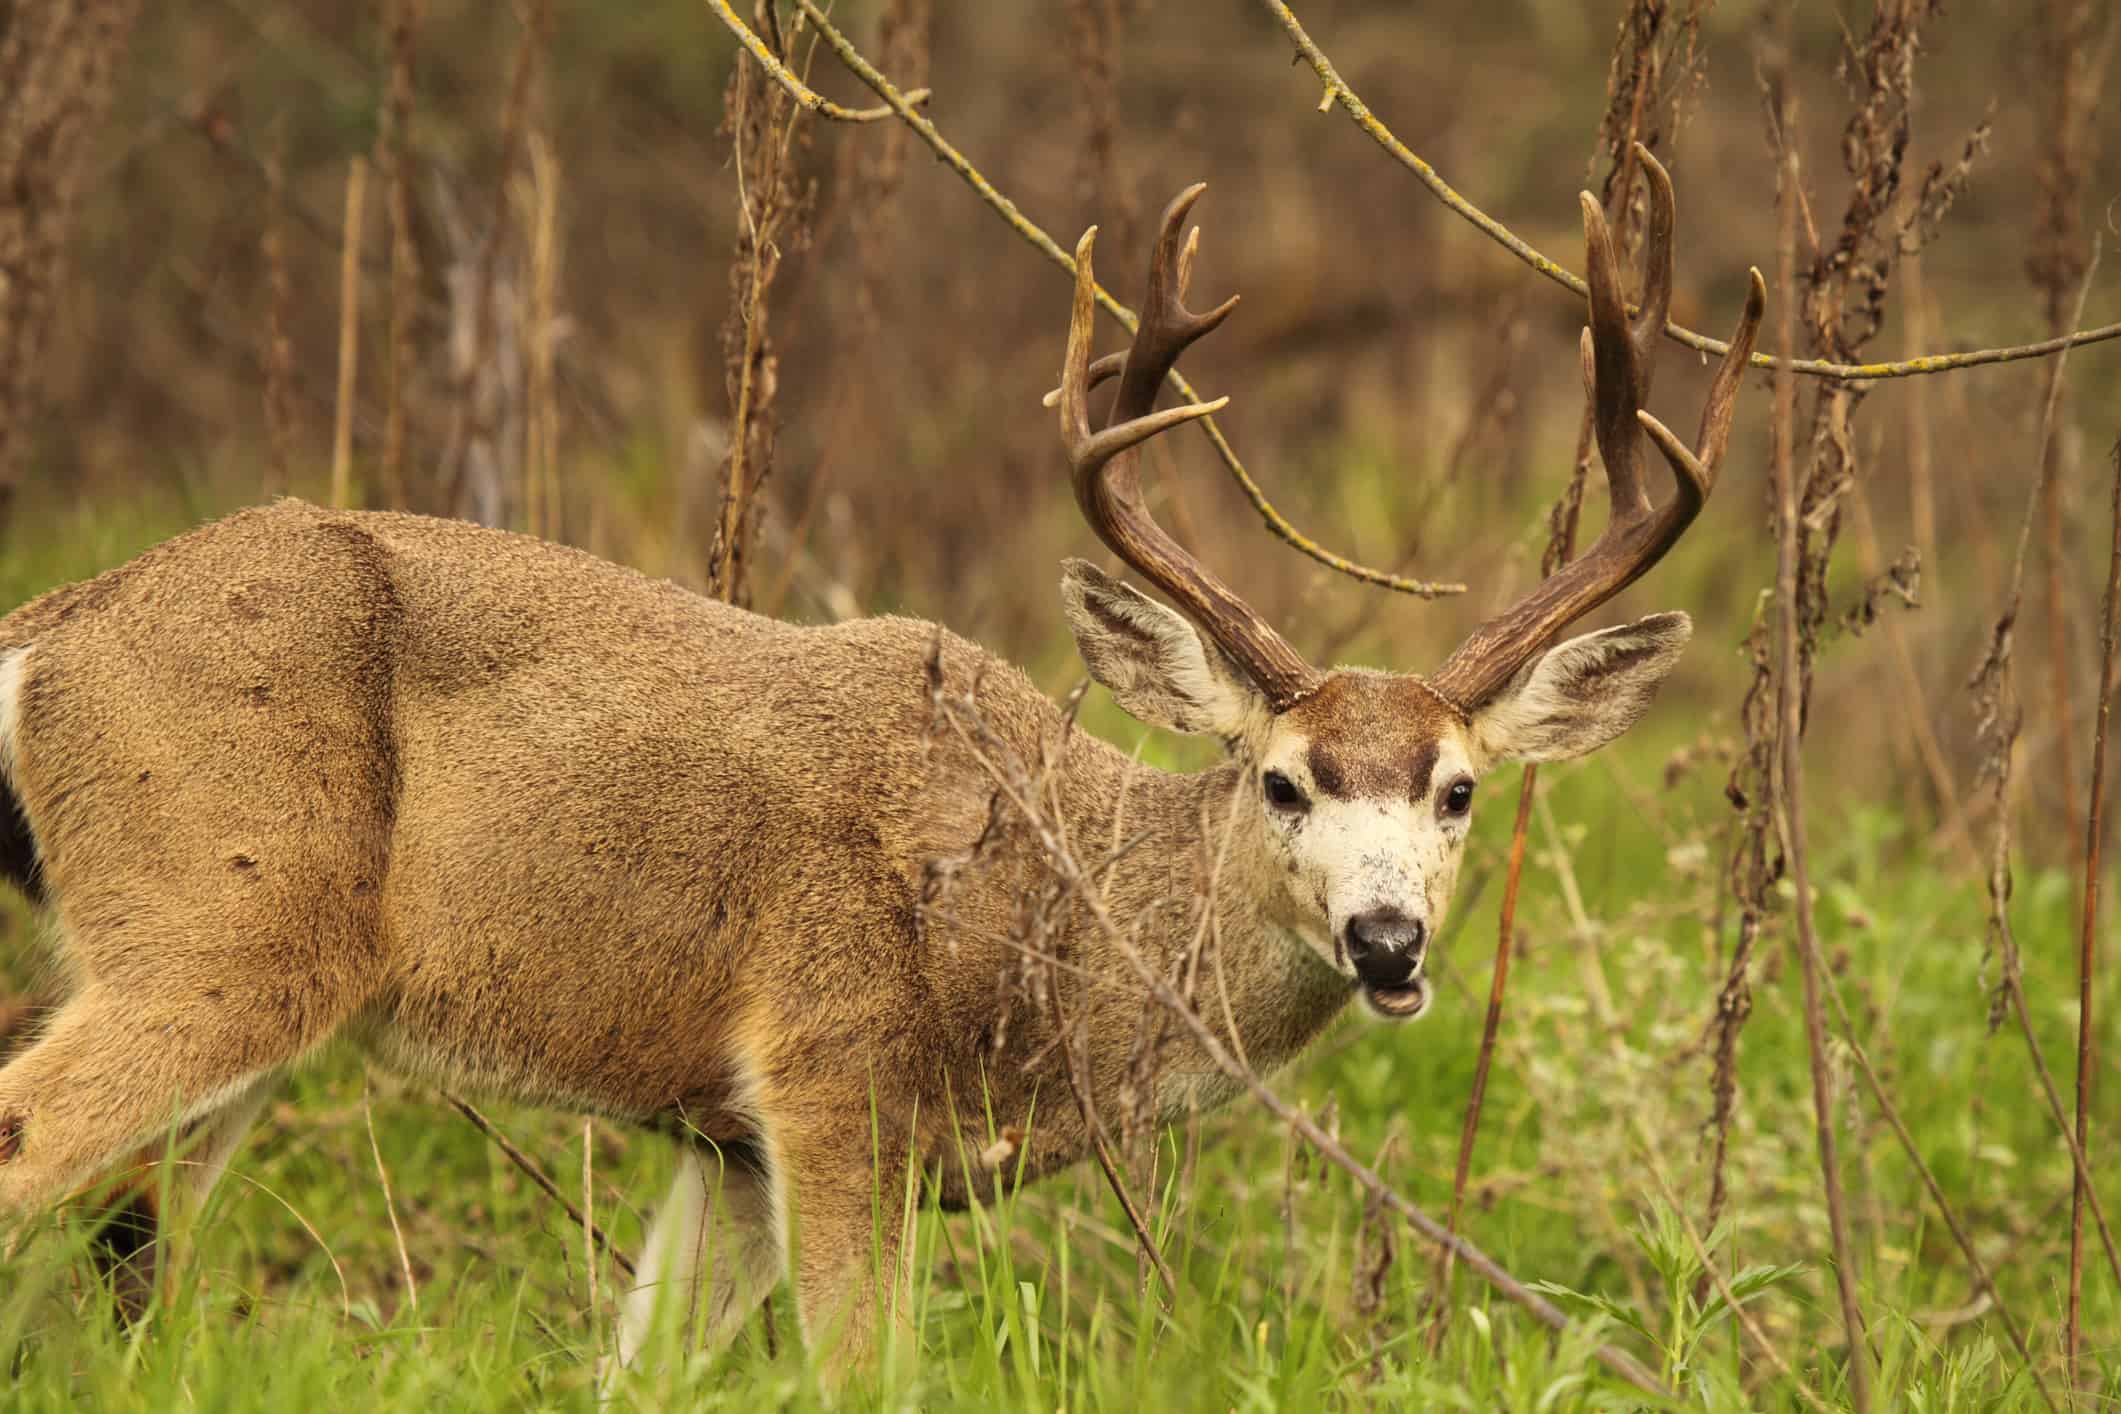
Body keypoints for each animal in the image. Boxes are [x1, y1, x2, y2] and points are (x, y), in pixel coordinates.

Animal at [0, 152, 1756, 1373]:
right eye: (1284, 778)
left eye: (1458, 790)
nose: (1387, 940)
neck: (1051, 931)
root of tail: (50, 630)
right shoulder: (830, 1057)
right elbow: (871, 1367)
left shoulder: (720, 1139)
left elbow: (641, 1373)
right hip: (224, 919)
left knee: (124, 1249)